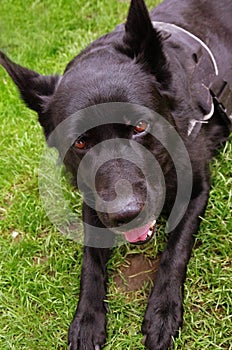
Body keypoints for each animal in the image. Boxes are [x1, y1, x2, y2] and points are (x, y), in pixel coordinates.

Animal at [0, 0, 231, 350]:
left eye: (140, 127)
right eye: (80, 142)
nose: (126, 214)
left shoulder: (197, 187)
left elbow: (176, 248)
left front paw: (163, 309)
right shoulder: (92, 200)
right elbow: (90, 262)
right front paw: (87, 318)